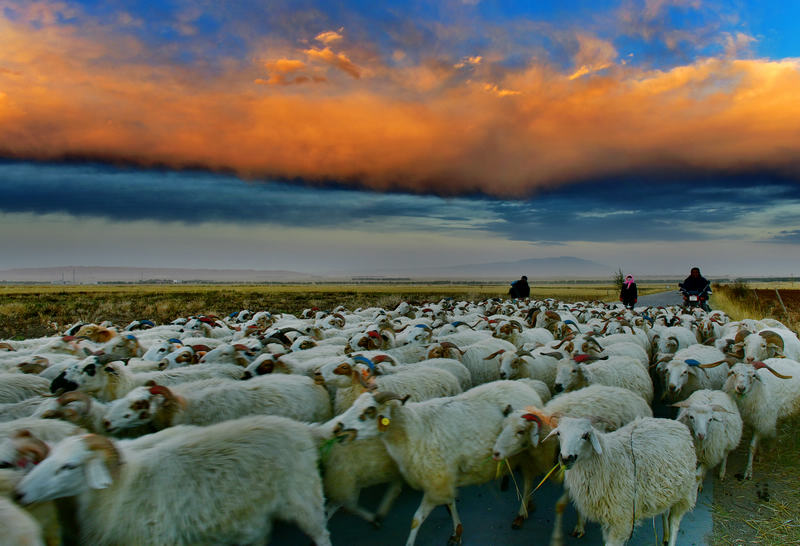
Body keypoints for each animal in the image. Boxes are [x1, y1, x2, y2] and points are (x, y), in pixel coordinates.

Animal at [15, 414, 334, 540]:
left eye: (69, 466)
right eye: (47, 457)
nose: (20, 494)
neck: (124, 484)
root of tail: (300, 427)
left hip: (304, 500)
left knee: (321, 534)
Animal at [330, 378, 544, 544]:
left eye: (370, 410)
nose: (338, 427)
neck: (413, 429)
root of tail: (526, 387)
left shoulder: (437, 478)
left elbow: (416, 519)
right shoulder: (443, 477)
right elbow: (449, 503)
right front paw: (457, 531)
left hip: (526, 452)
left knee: (528, 480)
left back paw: (522, 512)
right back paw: (530, 504)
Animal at [548, 414, 696, 540]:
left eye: (585, 435)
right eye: (559, 433)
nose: (566, 458)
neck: (608, 458)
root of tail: (676, 424)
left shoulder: (621, 519)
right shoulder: (607, 517)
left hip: (685, 492)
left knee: (674, 522)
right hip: (668, 491)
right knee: (665, 512)